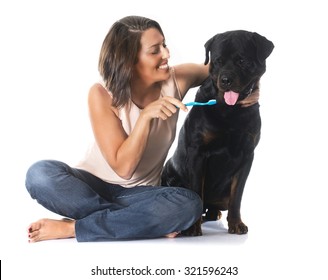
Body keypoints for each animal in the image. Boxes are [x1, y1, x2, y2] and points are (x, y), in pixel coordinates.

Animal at [162, 30, 274, 236]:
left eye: (242, 61)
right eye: (218, 61)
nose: (226, 80)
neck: (230, 111)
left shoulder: (247, 155)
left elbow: (237, 196)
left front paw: (236, 223)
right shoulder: (198, 152)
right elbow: (197, 191)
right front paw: (193, 227)